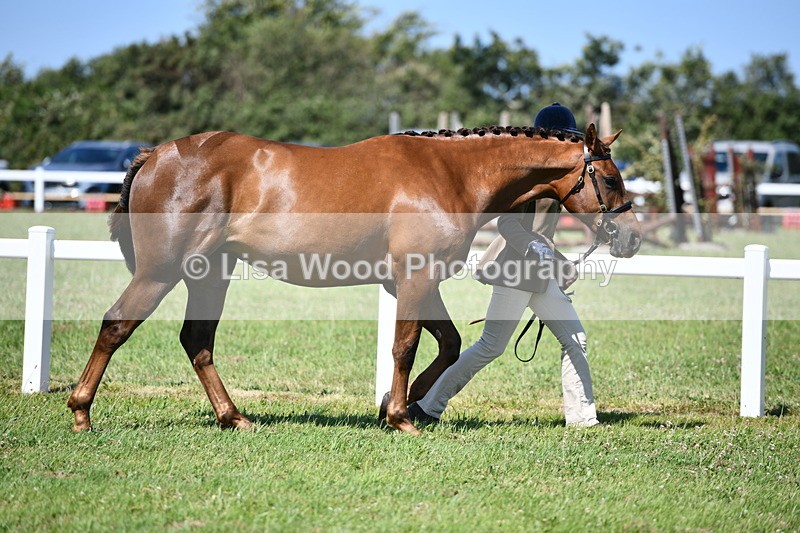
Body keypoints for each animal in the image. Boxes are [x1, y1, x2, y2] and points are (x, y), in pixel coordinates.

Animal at [66, 123, 641, 435]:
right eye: (611, 178)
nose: (632, 238)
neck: (450, 175)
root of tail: (156, 155)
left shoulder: (418, 283)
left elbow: (449, 344)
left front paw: (402, 404)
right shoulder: (414, 278)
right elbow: (406, 345)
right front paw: (401, 416)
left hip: (209, 275)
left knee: (197, 341)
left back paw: (234, 418)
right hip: (161, 272)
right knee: (117, 325)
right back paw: (80, 412)